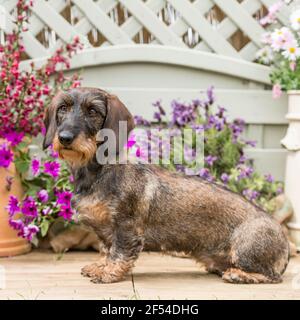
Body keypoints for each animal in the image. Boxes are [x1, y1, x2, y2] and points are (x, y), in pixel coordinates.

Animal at [43, 87, 290, 282]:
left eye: (93, 111)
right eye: (62, 108)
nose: (65, 138)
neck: (98, 173)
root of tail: (285, 241)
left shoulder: (126, 228)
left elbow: (119, 253)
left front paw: (109, 272)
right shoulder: (105, 232)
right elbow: (106, 250)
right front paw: (101, 266)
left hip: (245, 250)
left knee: (272, 276)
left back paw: (238, 274)